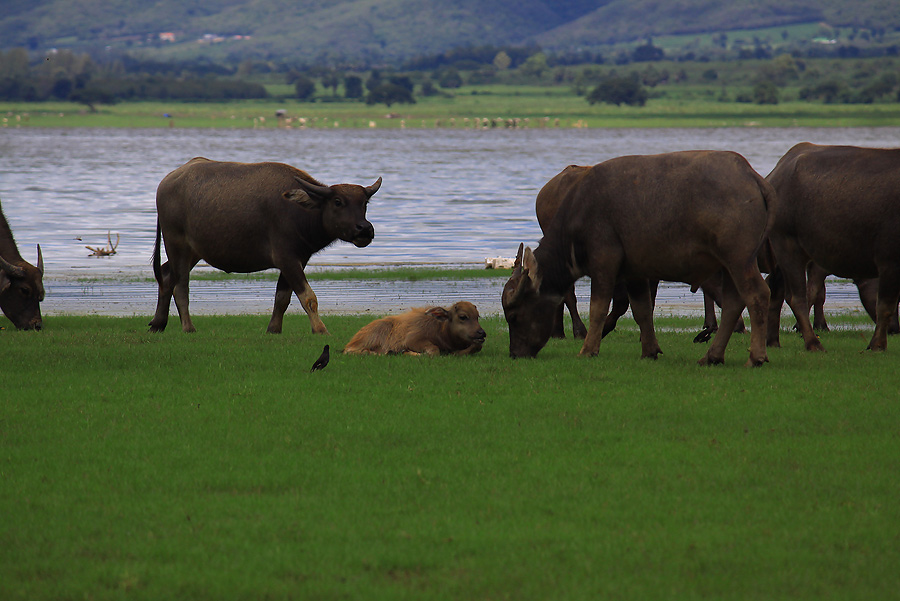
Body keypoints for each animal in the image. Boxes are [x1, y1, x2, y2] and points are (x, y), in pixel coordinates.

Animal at [149, 157, 382, 336]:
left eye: (364, 203)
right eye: (337, 202)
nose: (364, 229)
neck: (300, 213)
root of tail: (165, 183)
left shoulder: (299, 259)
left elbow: (282, 297)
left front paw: (274, 329)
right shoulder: (286, 258)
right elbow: (308, 297)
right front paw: (320, 329)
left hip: (194, 251)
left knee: (166, 274)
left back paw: (158, 323)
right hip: (176, 244)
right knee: (181, 286)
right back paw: (188, 327)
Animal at [342, 300, 486, 356]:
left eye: (477, 316)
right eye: (463, 316)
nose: (482, 333)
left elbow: (477, 346)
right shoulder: (412, 340)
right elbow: (434, 350)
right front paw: (406, 352)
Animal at [500, 150, 772, 366]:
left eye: (514, 316)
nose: (515, 353)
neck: (581, 210)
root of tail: (751, 176)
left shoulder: (604, 263)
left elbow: (598, 308)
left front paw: (588, 349)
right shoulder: (635, 272)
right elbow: (642, 310)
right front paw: (649, 350)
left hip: (739, 259)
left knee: (757, 295)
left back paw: (755, 357)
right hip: (729, 265)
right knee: (734, 302)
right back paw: (712, 356)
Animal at [768, 142, 900, 352]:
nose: (895, 329)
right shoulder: (889, 260)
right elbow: (884, 305)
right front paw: (877, 345)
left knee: (777, 289)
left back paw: (773, 341)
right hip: (787, 246)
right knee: (796, 297)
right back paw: (813, 343)